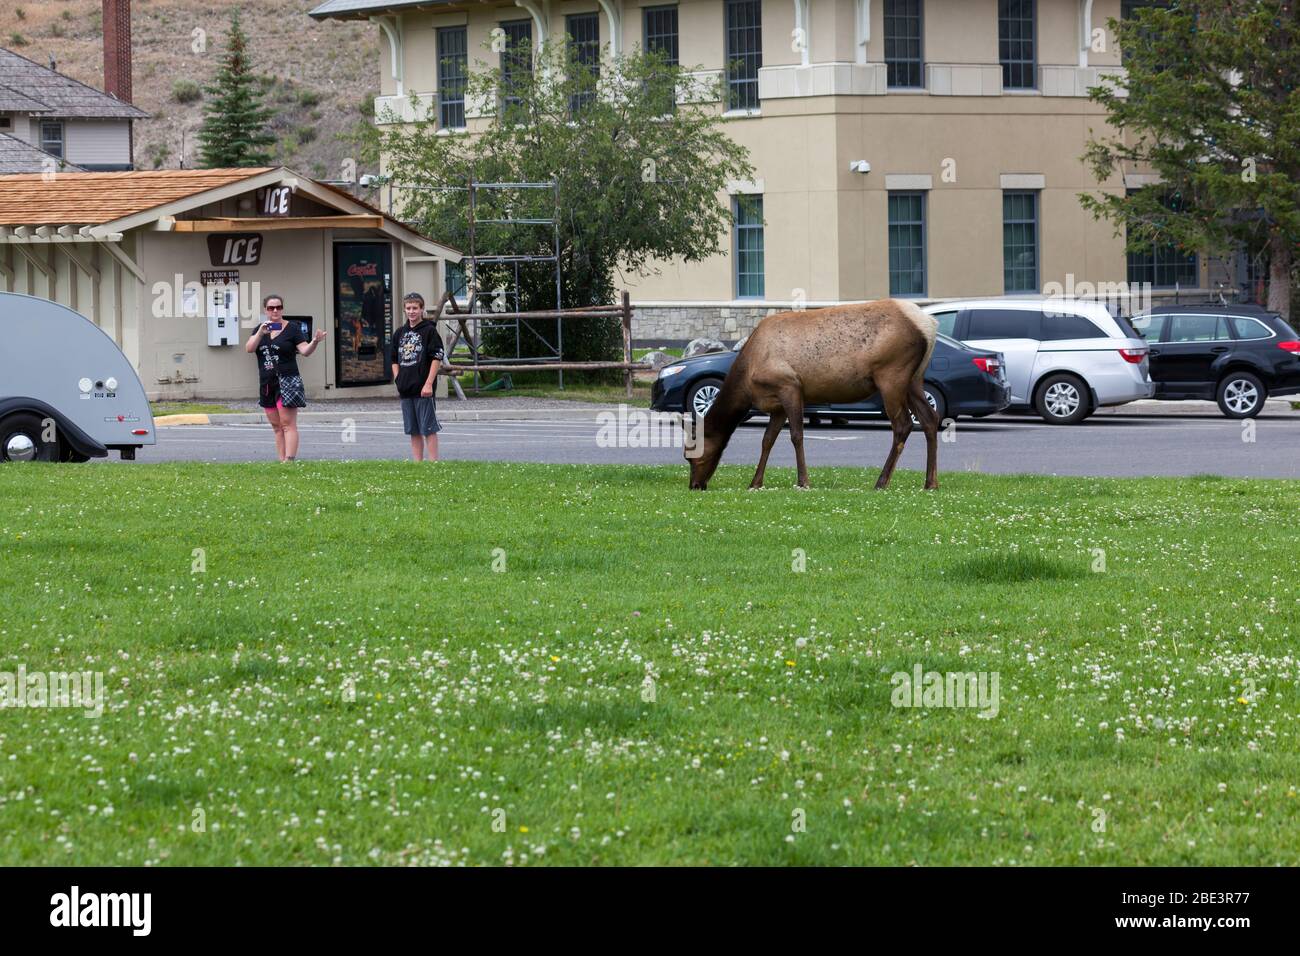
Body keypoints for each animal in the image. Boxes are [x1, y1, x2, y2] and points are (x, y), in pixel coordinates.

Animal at [686, 299, 941, 494]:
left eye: (690, 455)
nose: (695, 485)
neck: (747, 378)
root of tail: (929, 325)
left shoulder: (790, 385)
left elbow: (796, 436)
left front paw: (803, 482)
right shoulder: (777, 405)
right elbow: (767, 440)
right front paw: (755, 482)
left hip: (891, 374)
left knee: (903, 425)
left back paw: (881, 481)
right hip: (915, 378)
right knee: (930, 419)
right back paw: (931, 483)